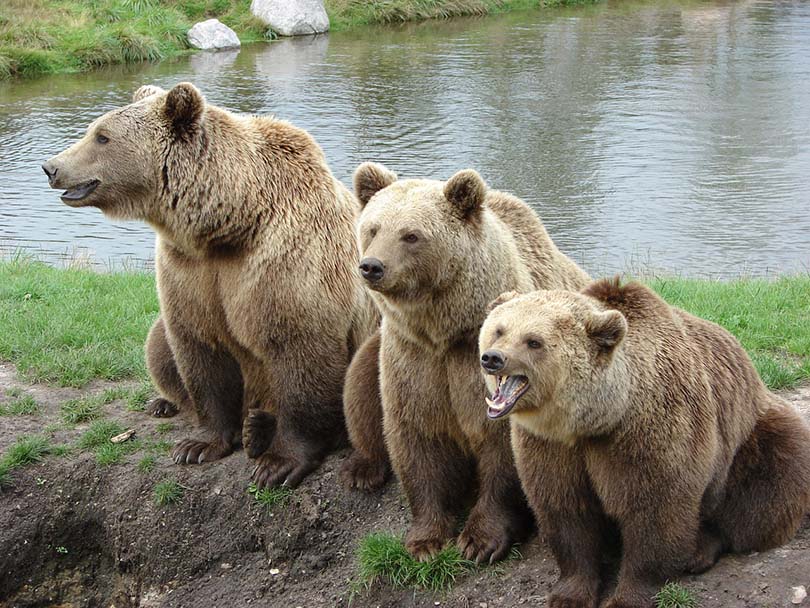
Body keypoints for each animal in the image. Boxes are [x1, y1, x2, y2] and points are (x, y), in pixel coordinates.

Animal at [43, 82, 379, 488]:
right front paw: (198, 445)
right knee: (158, 344)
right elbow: (199, 349)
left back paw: (260, 428)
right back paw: (174, 405)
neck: (230, 224)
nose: (51, 167)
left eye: (102, 136)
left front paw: (278, 463)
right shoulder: (190, 271)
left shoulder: (288, 262)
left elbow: (299, 351)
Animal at [347, 161, 589, 562]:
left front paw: (480, 540)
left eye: (411, 235)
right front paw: (425, 540)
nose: (372, 266)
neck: (445, 331)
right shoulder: (414, 358)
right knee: (359, 385)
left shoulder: (479, 365)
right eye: (373, 228)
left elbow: (502, 449)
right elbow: (418, 438)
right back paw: (362, 469)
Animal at [478, 279, 810, 608]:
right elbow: (566, 510)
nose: (493, 358)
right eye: (499, 330)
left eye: (533, 341)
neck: (594, 420)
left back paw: (700, 549)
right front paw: (569, 595)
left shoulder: (651, 429)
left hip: (749, 436)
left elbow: (655, 511)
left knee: (766, 487)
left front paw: (627, 596)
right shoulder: (550, 445)